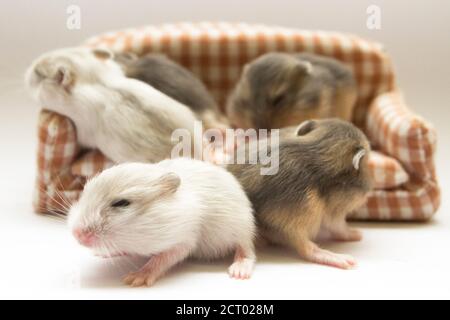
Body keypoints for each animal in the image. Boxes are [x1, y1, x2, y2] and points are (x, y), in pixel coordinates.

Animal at [67, 159, 256, 286]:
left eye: (121, 203)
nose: (76, 234)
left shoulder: (184, 241)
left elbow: (160, 260)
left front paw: (135, 279)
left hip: (242, 227)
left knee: (246, 250)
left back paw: (239, 271)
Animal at [229, 119, 372, 268]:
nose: (368, 194)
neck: (321, 146)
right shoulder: (335, 212)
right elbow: (340, 227)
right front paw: (357, 234)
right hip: (295, 226)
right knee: (307, 250)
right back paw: (344, 259)